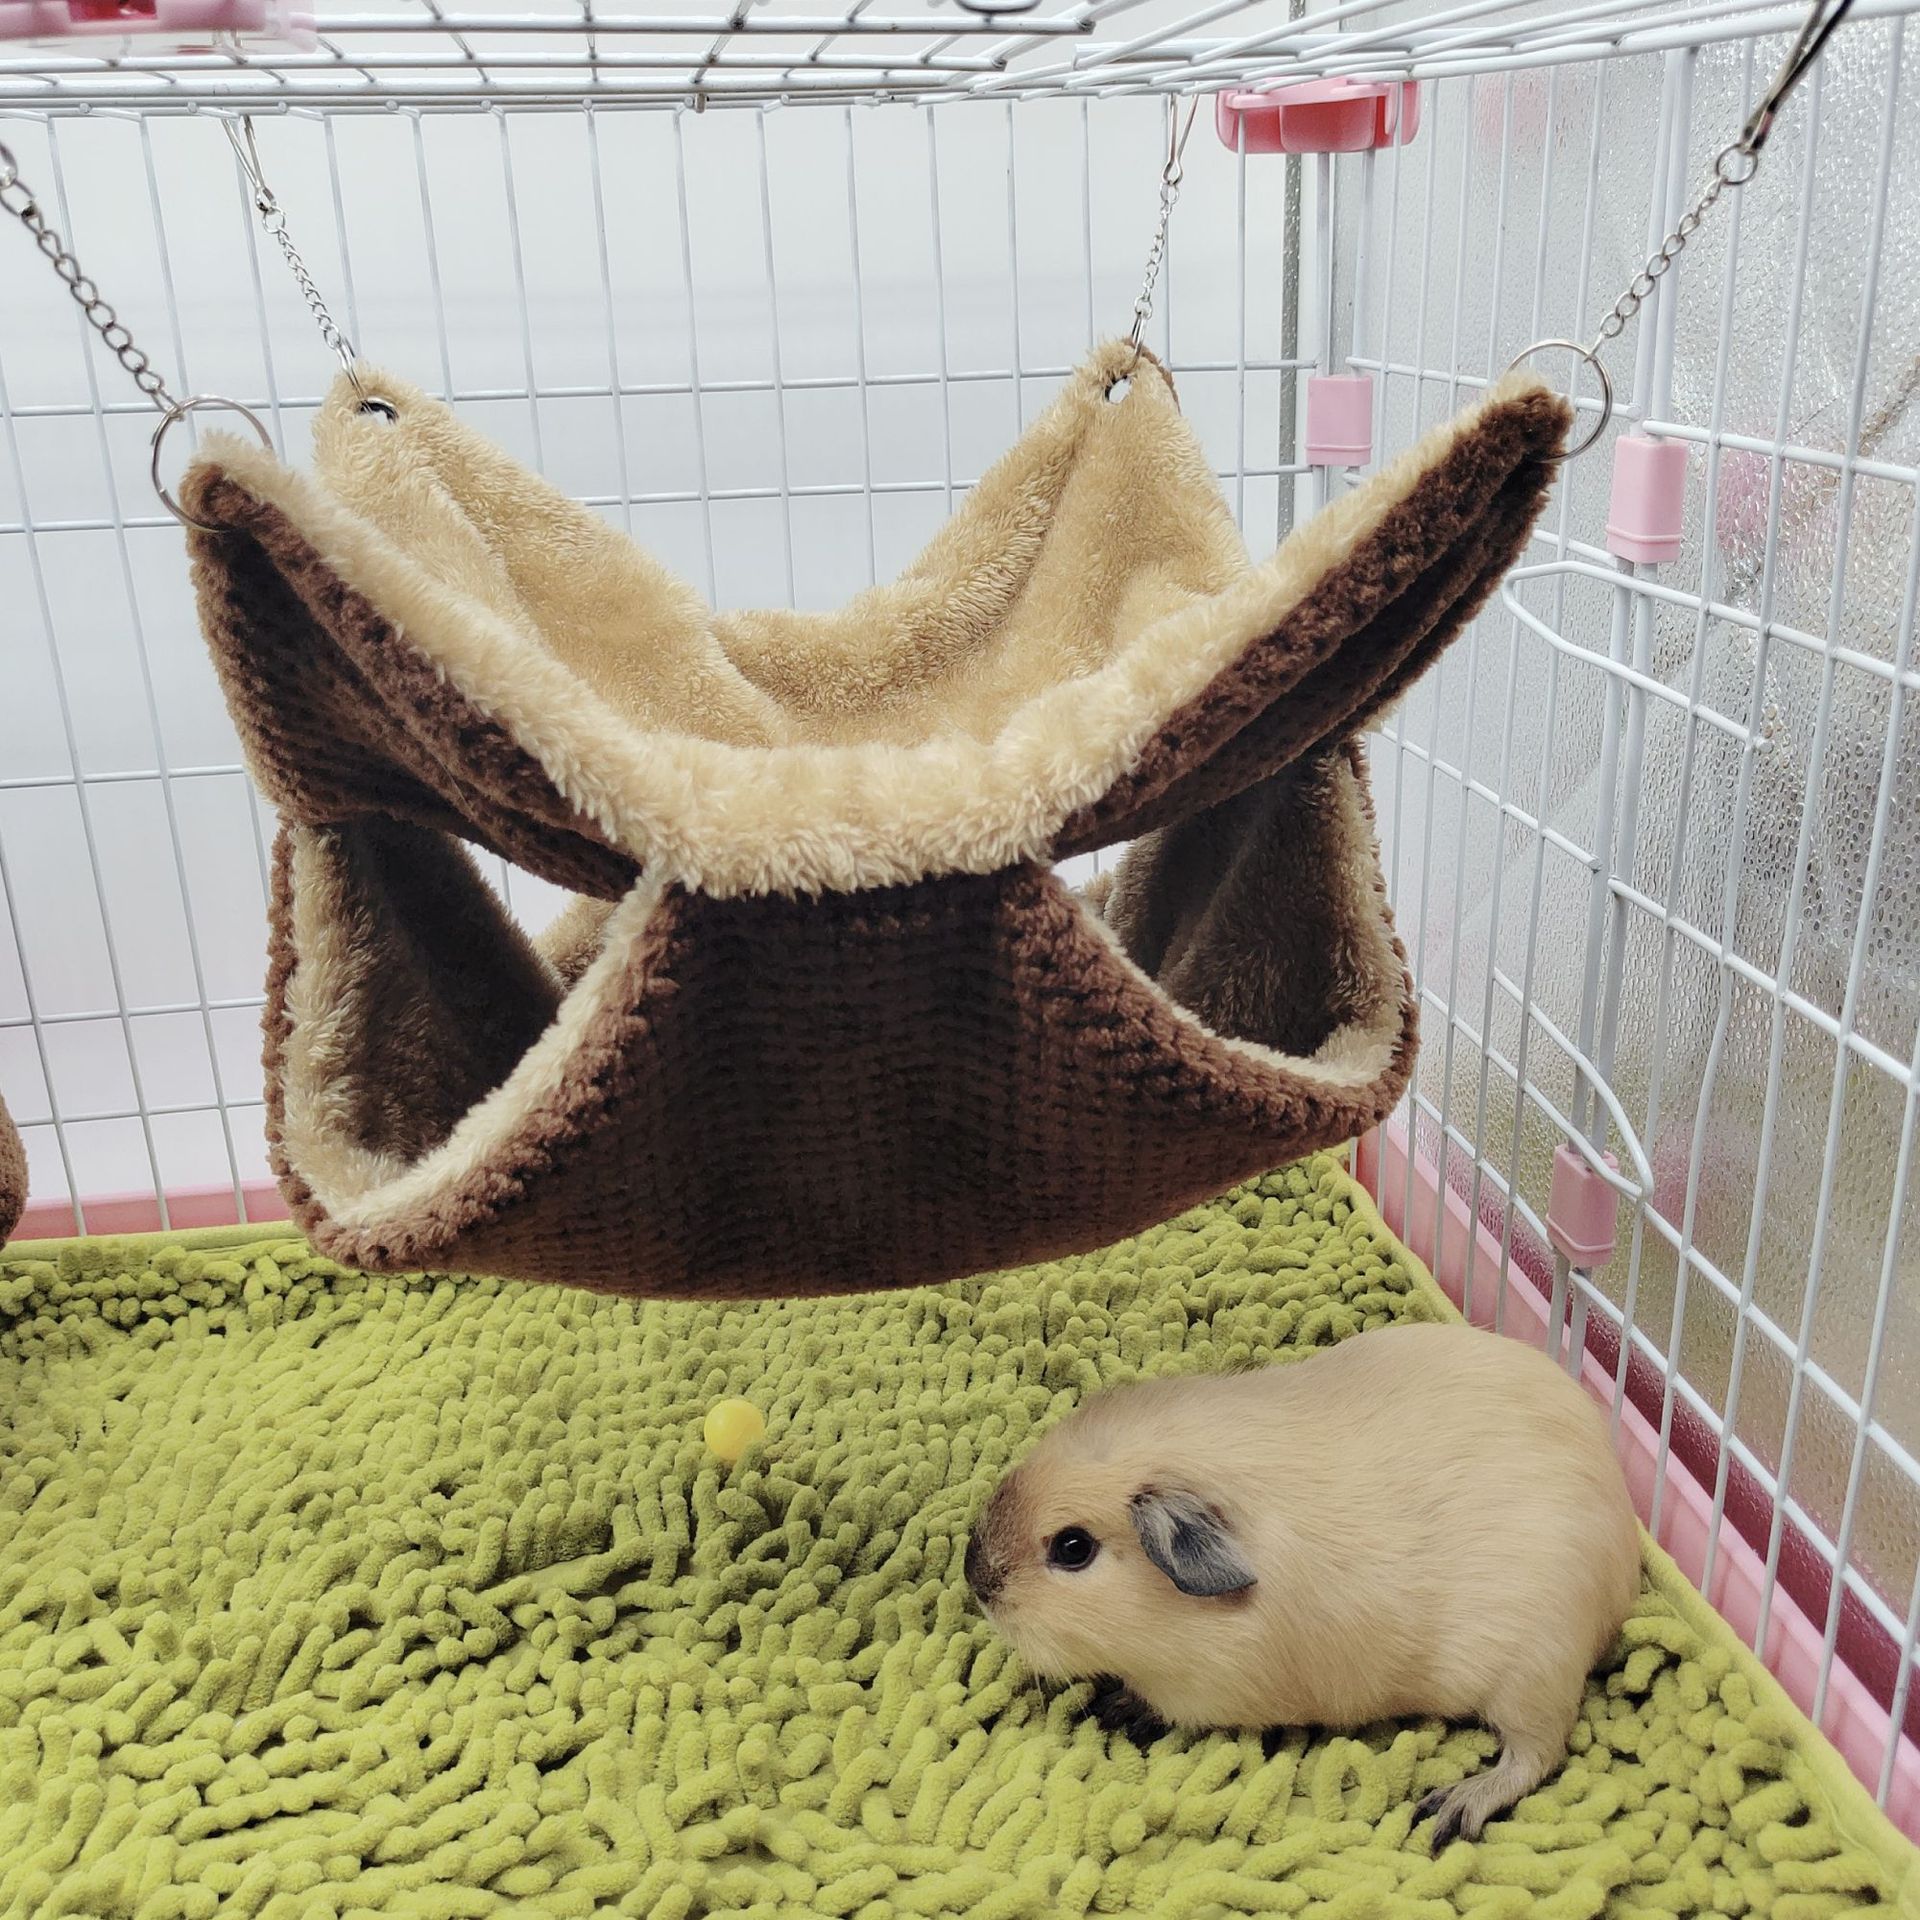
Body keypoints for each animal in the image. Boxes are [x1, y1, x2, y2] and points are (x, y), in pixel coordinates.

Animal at [963, 1320, 1640, 1847]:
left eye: (1073, 1548)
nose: (976, 1578)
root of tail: (1625, 1567)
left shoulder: (1210, 1689)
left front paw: (1114, 1708)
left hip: (1531, 1680)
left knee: (1535, 1755)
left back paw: (1443, 1812)